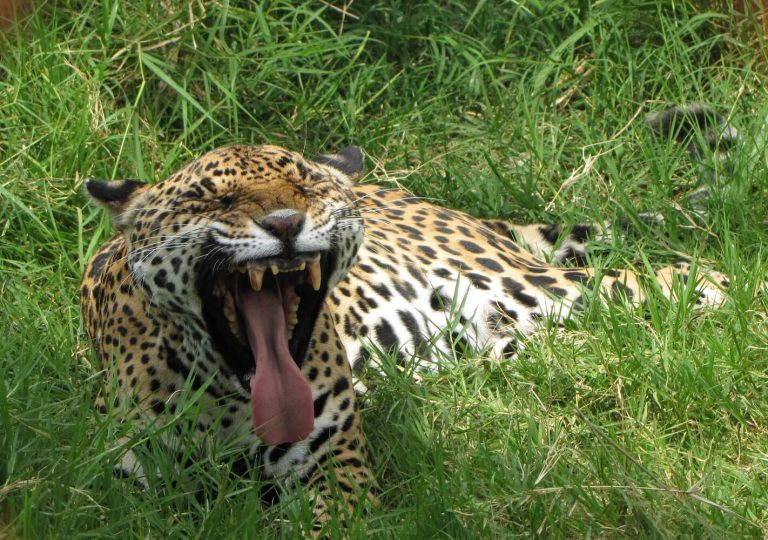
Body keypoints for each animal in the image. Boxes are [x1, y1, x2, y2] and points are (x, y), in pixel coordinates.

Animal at [81, 104, 736, 528]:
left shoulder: (334, 468)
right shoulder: (128, 488)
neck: (233, 393)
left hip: (538, 288)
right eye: (213, 200)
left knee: (689, 277)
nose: (286, 223)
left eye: (306, 187)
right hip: (505, 336)